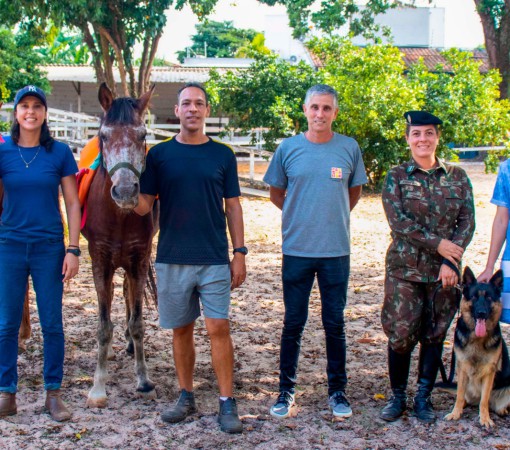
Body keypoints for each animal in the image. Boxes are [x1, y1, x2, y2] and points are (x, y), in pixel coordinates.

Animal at [444, 268, 510, 428]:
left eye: (489, 298)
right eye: (474, 297)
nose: (481, 313)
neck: (477, 339)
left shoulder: (490, 371)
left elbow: (484, 400)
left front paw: (485, 418)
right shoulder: (462, 368)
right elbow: (460, 395)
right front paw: (456, 413)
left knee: (491, 403)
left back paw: (501, 409)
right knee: (464, 397)